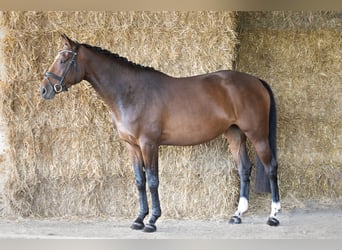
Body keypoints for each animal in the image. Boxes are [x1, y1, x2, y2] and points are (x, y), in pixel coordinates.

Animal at [40, 34, 280, 232]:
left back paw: (274, 216)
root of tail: (256, 81)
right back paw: (237, 215)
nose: (44, 89)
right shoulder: (132, 146)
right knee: (244, 168)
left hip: (257, 135)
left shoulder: (149, 144)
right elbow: (140, 181)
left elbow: (153, 180)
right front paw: (138, 219)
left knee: (271, 167)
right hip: (235, 135)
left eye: (63, 60)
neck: (131, 93)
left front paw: (152, 221)